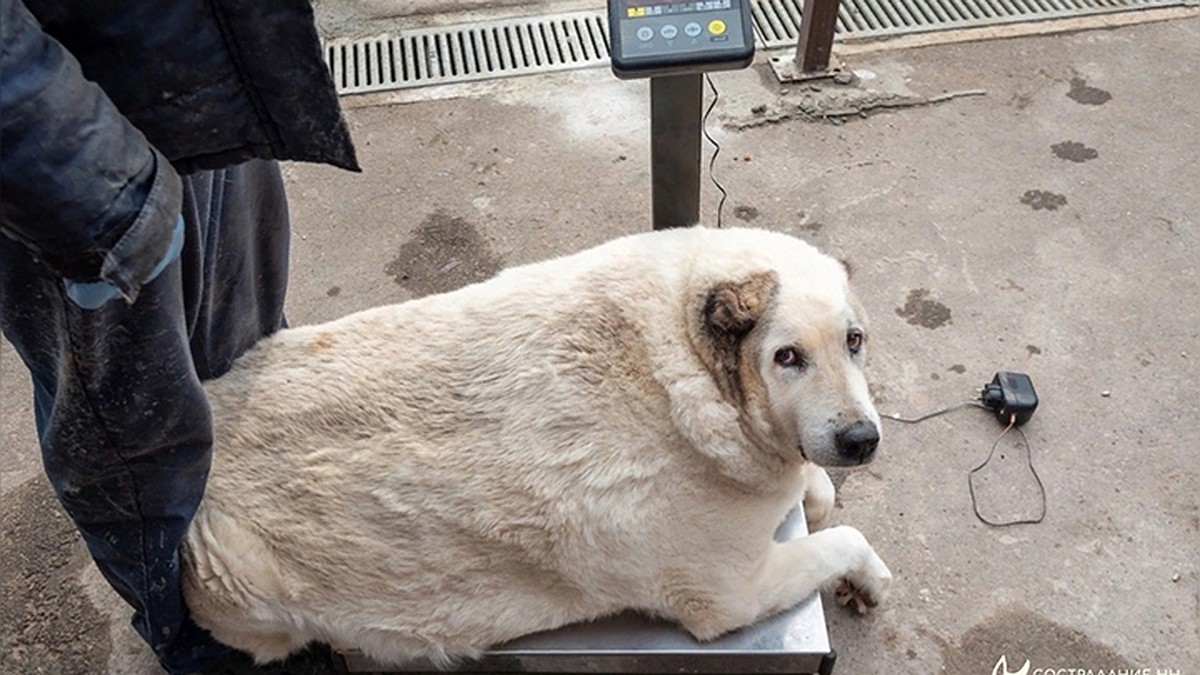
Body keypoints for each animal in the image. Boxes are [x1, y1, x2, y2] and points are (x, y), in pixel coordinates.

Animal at [182, 224, 888, 662]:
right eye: (787, 357)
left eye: (854, 341)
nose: (861, 439)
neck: (687, 371)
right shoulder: (728, 594)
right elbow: (844, 535)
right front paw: (870, 578)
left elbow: (818, 491)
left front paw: (818, 497)